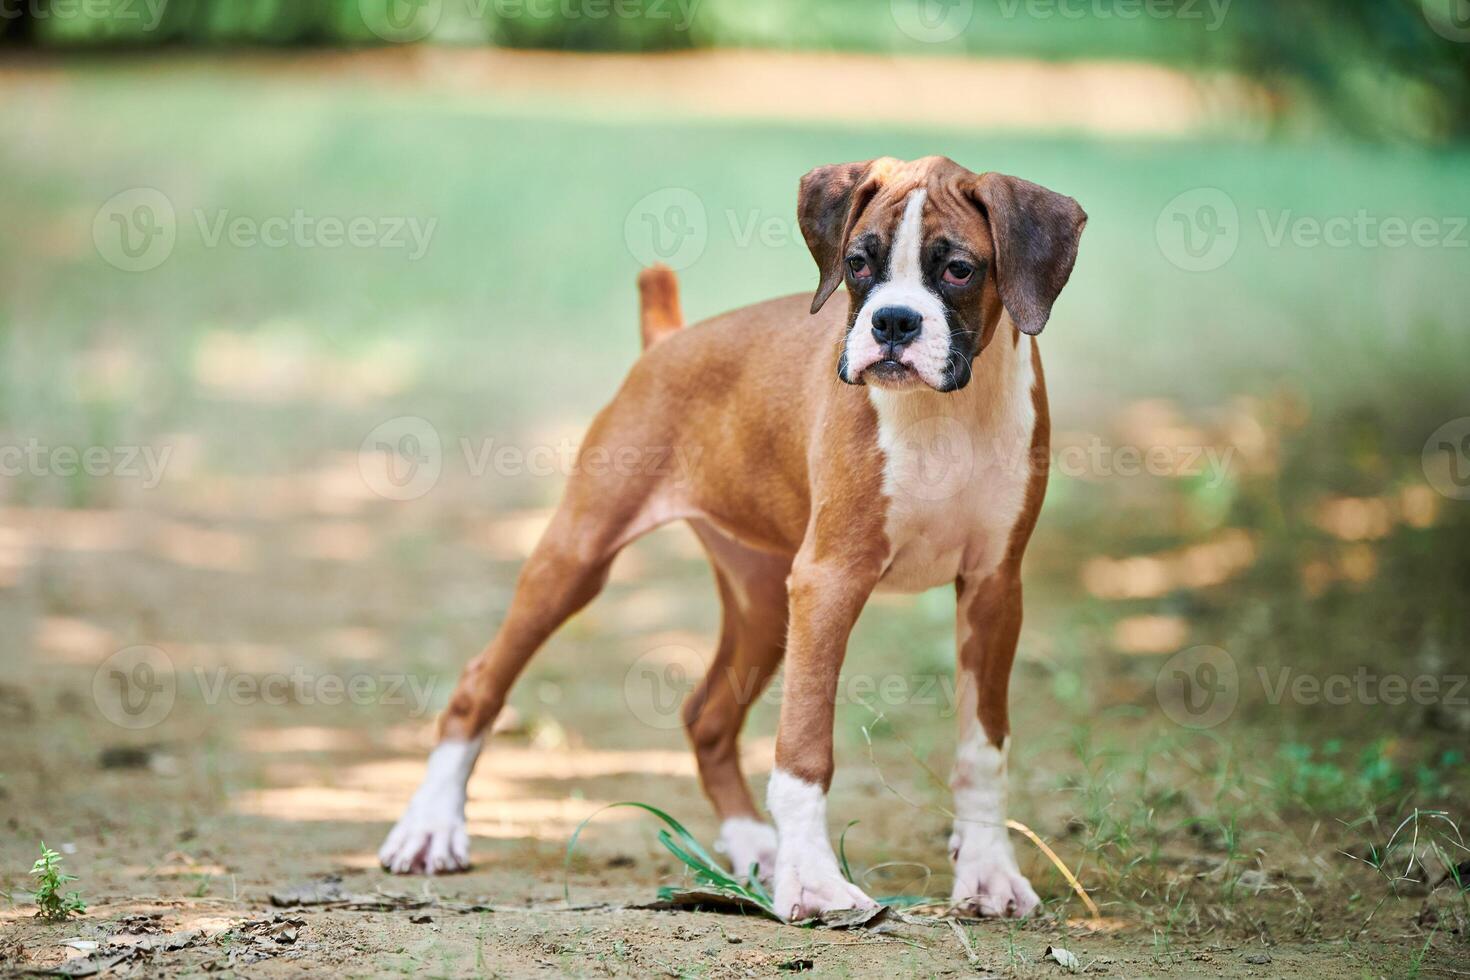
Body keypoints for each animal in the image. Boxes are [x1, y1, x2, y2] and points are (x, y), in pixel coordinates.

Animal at [385, 157, 1087, 922]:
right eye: (857, 262)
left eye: (958, 268)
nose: (893, 321)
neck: (945, 415)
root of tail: (667, 339)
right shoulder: (831, 581)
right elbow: (804, 749)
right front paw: (814, 883)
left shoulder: (994, 589)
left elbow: (982, 749)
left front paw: (988, 870)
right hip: (577, 559)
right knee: (480, 682)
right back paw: (431, 827)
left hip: (763, 603)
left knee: (707, 716)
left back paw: (755, 844)